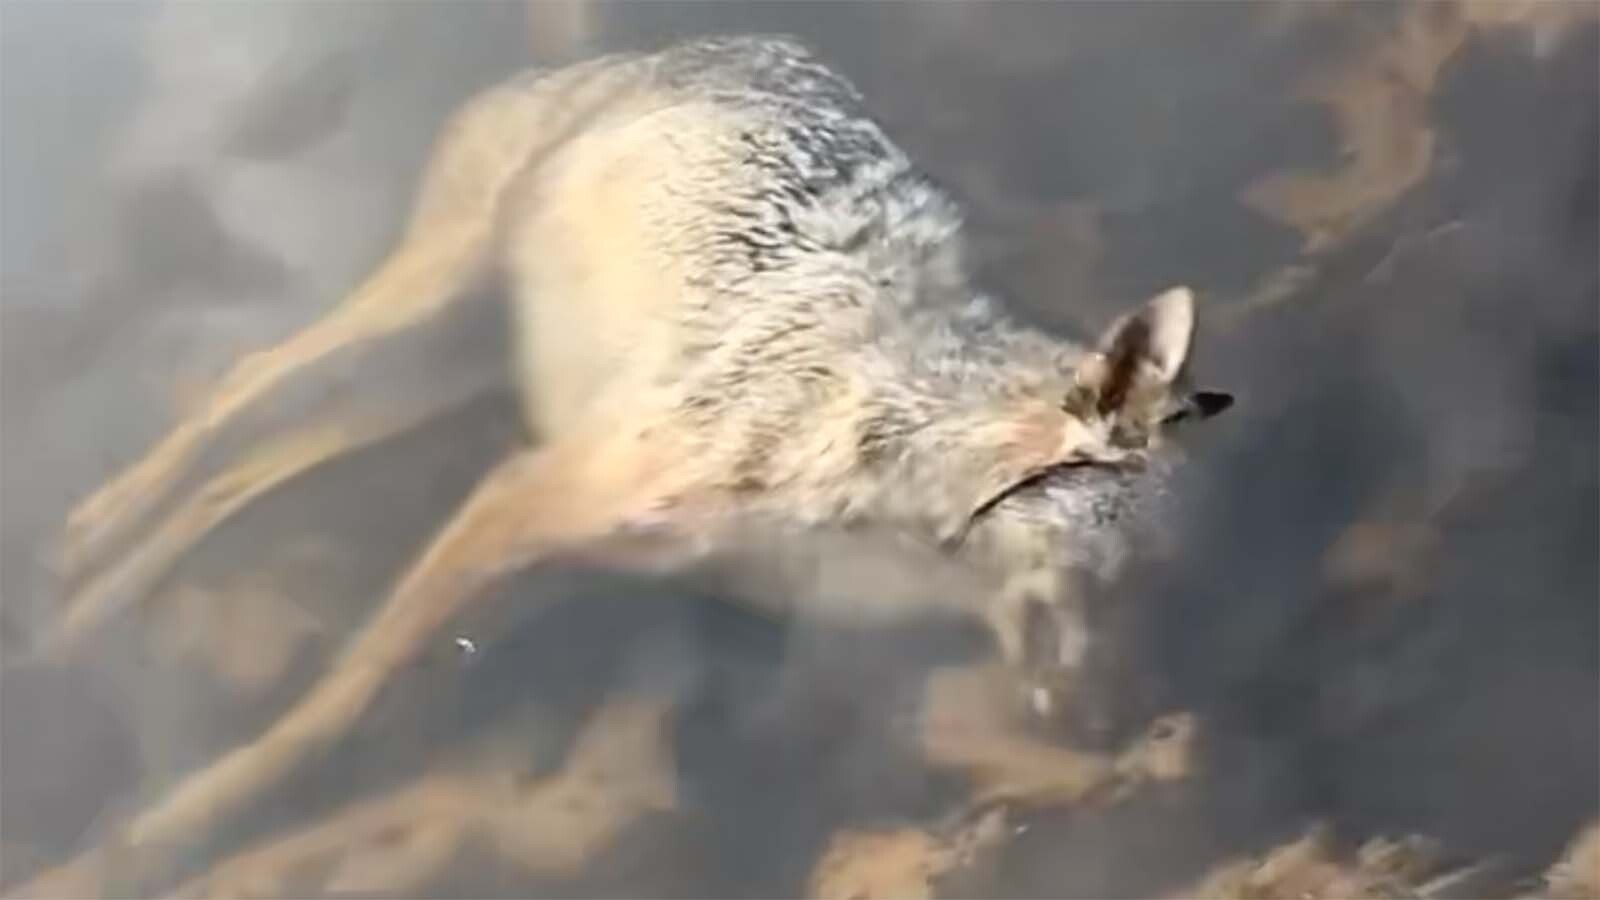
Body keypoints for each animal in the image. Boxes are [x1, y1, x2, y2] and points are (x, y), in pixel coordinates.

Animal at [37, 33, 1235, 877]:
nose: (1133, 725)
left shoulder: (555, 550)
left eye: (1167, 597)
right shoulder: (519, 503)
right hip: (419, 308)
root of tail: (703, 42)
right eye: (1110, 580)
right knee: (238, 393)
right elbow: (329, 710)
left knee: (249, 470)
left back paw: (79, 608)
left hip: (433, 378)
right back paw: (86, 541)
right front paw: (162, 838)